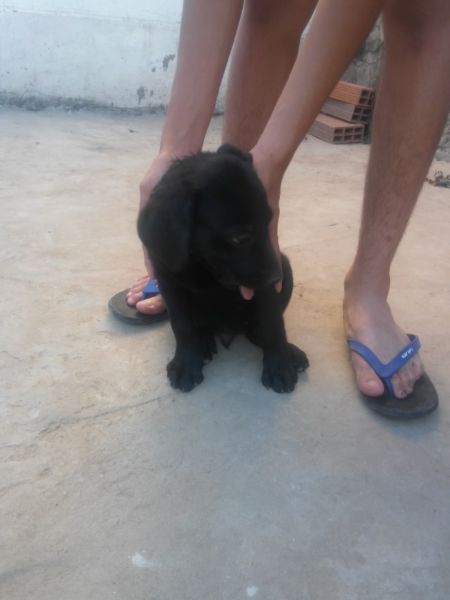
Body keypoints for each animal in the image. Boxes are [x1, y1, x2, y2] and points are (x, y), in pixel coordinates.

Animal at [138, 144, 310, 394]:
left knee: (257, 331)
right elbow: (182, 326)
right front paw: (186, 364)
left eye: (268, 222)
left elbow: (274, 324)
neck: (204, 265)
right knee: (200, 326)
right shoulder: (167, 280)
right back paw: (203, 343)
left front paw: (279, 365)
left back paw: (290, 353)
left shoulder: (264, 289)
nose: (275, 279)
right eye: (239, 238)